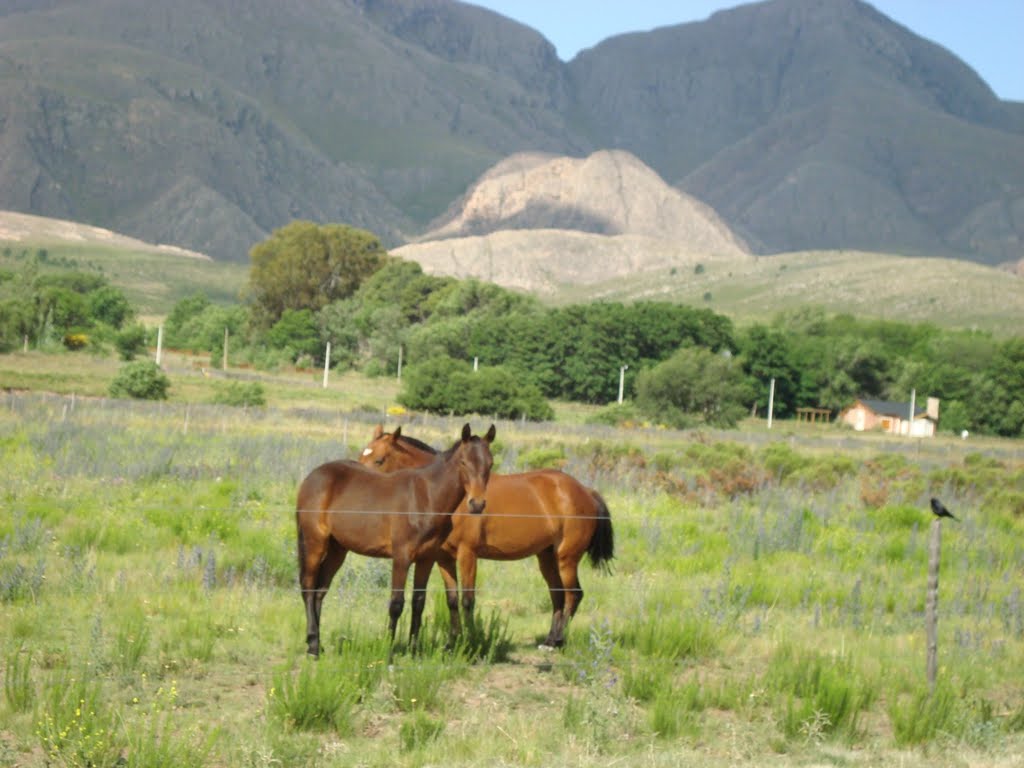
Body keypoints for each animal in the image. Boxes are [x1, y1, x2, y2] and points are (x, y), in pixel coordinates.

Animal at [296, 423, 495, 659]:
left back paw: (318, 644)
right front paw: (389, 650)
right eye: (464, 462)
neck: (425, 497)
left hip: (338, 549)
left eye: (490, 464)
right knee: (308, 586)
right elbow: (396, 604)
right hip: (315, 542)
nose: (477, 504)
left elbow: (418, 602)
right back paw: (312, 645)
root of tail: (313, 476)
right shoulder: (401, 556)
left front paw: (414, 650)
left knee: (320, 590)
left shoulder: (426, 558)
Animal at [362, 428, 614, 651]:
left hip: (566, 558)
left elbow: (467, 600)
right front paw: (451, 643)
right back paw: (550, 640)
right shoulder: (443, 558)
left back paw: (559, 640)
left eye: (379, 460)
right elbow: (452, 600)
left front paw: (470, 643)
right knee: (557, 595)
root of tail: (585, 491)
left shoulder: (468, 555)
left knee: (573, 594)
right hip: (547, 558)